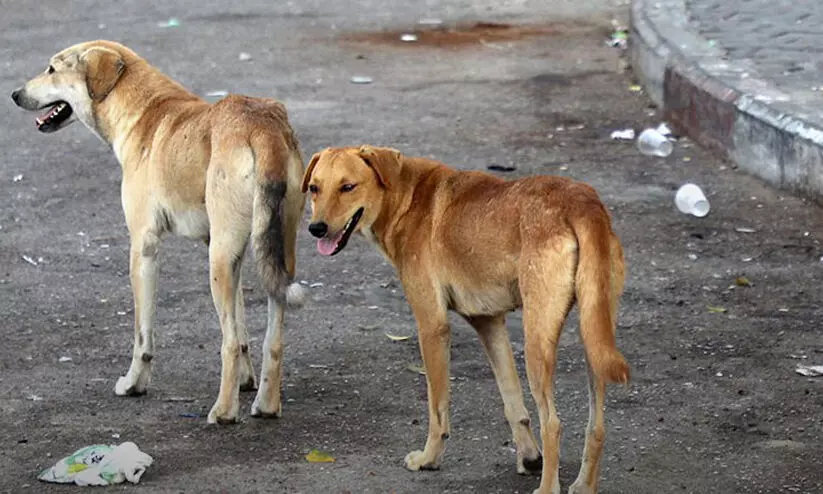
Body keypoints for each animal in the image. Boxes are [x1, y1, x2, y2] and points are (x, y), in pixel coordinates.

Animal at [10, 40, 308, 424]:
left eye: (51, 69)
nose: (15, 94)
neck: (144, 111)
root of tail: (262, 126)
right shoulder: (232, 253)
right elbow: (242, 329)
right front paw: (245, 380)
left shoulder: (144, 248)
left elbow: (143, 336)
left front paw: (134, 384)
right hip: (271, 254)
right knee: (273, 339)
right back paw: (267, 405)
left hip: (217, 263)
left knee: (226, 343)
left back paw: (224, 412)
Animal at [302, 147, 632, 494]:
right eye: (314, 188)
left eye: (347, 187)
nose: (316, 228)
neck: (406, 196)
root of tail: (582, 202)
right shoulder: (489, 324)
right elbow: (513, 402)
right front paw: (529, 458)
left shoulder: (432, 328)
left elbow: (437, 408)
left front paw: (429, 459)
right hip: (594, 338)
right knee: (596, 427)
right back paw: (583, 484)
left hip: (537, 343)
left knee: (553, 423)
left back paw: (547, 488)